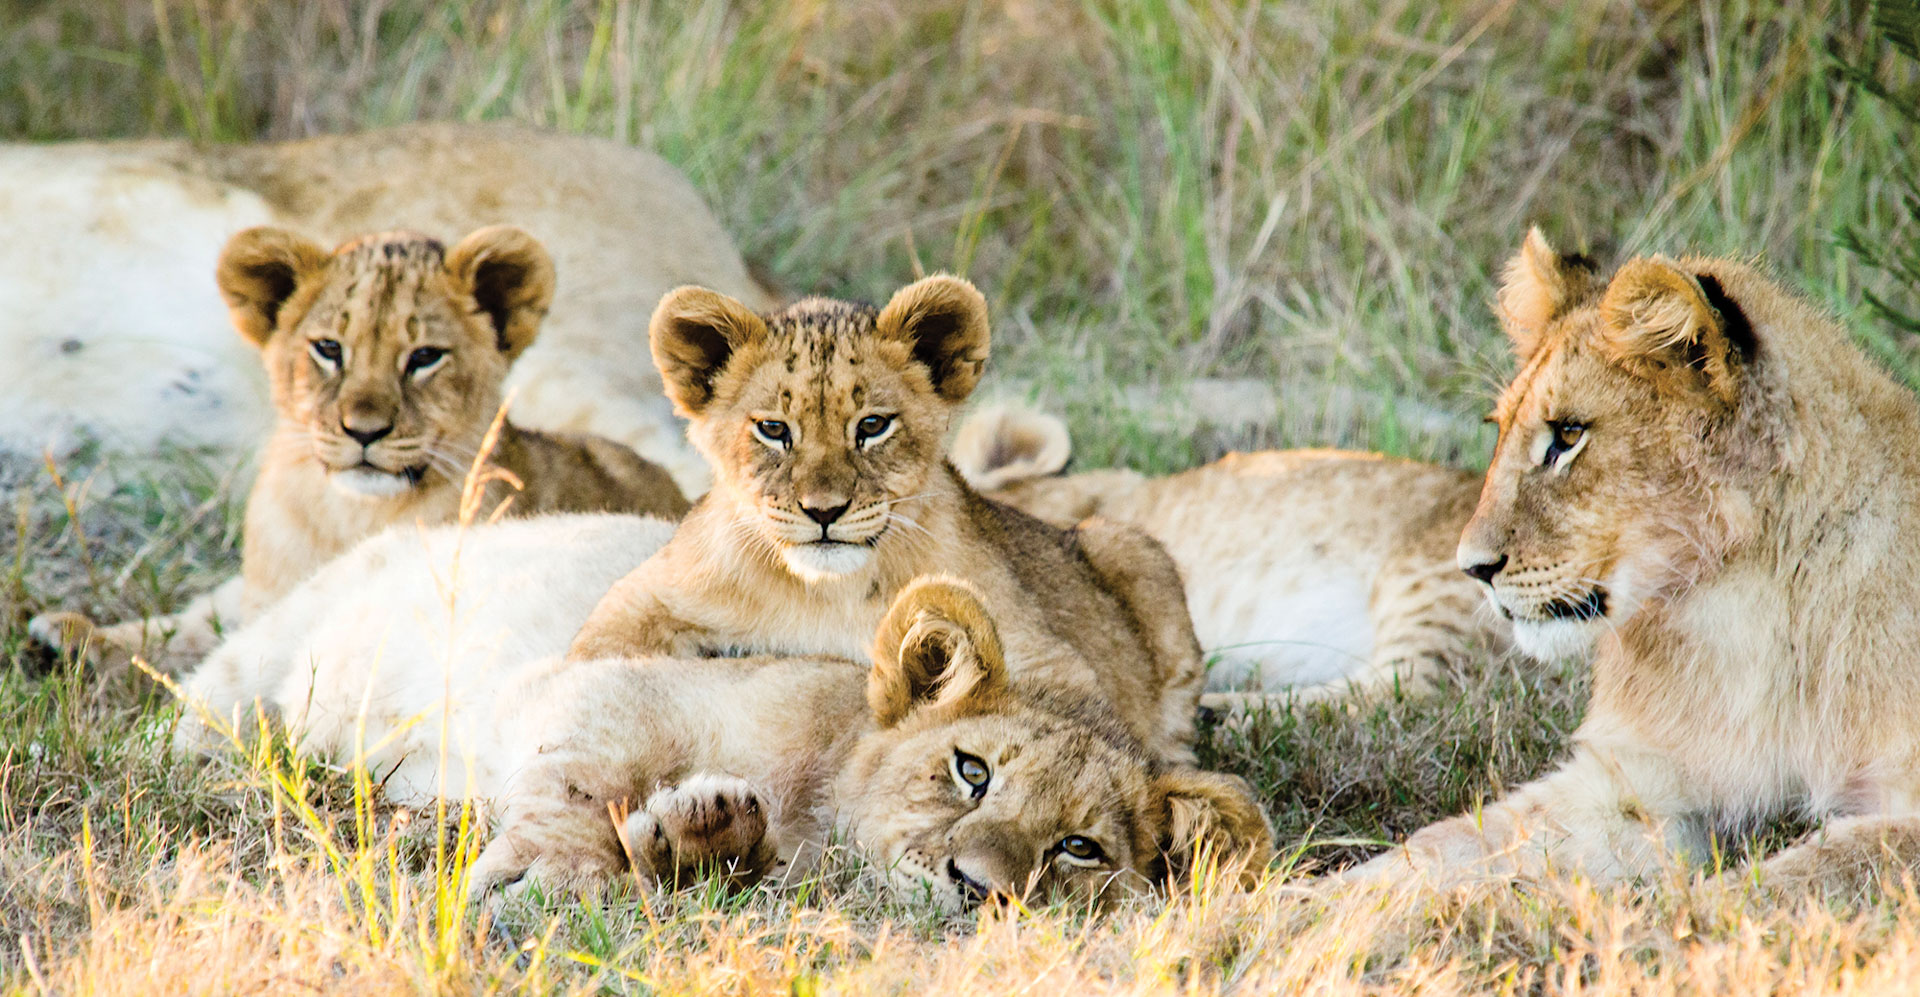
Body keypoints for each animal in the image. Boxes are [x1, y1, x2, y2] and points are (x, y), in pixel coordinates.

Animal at [31, 225, 689, 675]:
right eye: (328, 349)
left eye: (424, 357)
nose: (364, 431)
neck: (347, 516)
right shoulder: (263, 598)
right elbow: (193, 633)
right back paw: (61, 634)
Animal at [562, 276, 1208, 764]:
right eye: (773, 429)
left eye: (872, 425)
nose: (824, 511)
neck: (825, 593)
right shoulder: (645, 598)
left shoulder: (1052, 658)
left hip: (1131, 547)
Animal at [1347, 229, 1920, 892]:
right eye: (1500, 428)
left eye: (1569, 436)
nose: (1472, 568)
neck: (1748, 605)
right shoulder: (1636, 783)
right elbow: (1442, 847)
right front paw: (1301, 908)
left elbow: (1795, 876)